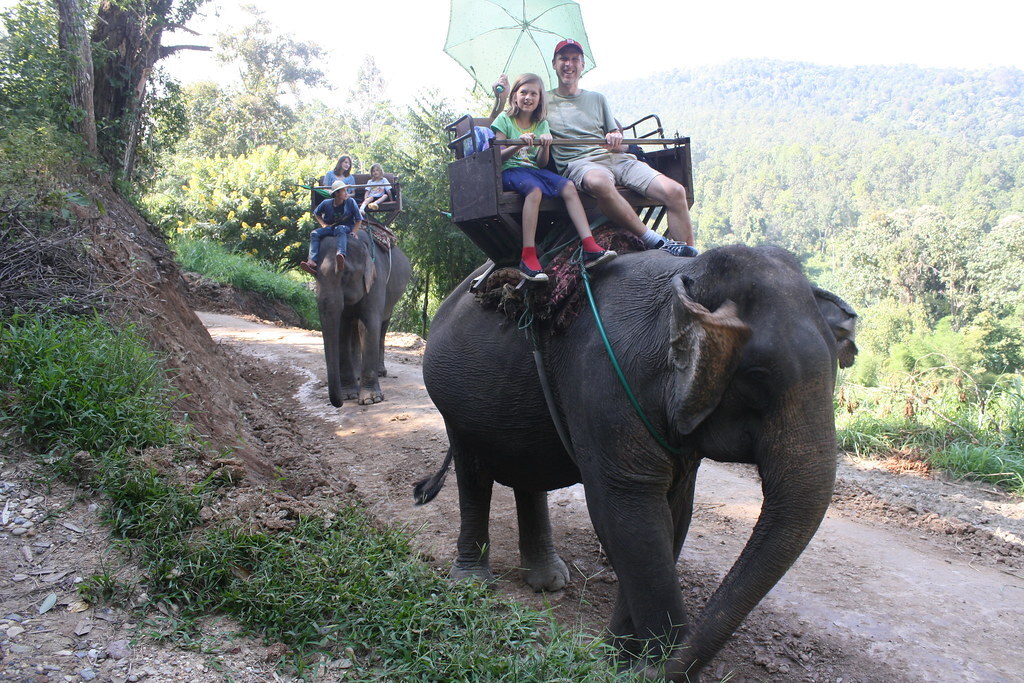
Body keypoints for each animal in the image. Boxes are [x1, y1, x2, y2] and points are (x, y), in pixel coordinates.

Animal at [310, 229, 411, 407]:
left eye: (346, 273)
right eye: (314, 275)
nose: (338, 404)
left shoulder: (376, 279)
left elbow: (369, 324)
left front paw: (371, 399)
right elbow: (342, 328)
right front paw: (348, 395)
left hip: (391, 300)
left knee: (382, 326)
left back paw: (380, 372)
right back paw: (357, 375)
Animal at [415, 244, 857, 680]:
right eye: (756, 376)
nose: (659, 668)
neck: (684, 281)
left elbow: (672, 515)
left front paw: (619, 658)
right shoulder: (604, 383)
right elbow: (628, 513)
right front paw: (638, 664)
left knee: (527, 473)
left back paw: (548, 581)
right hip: (453, 401)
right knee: (473, 471)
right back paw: (471, 584)